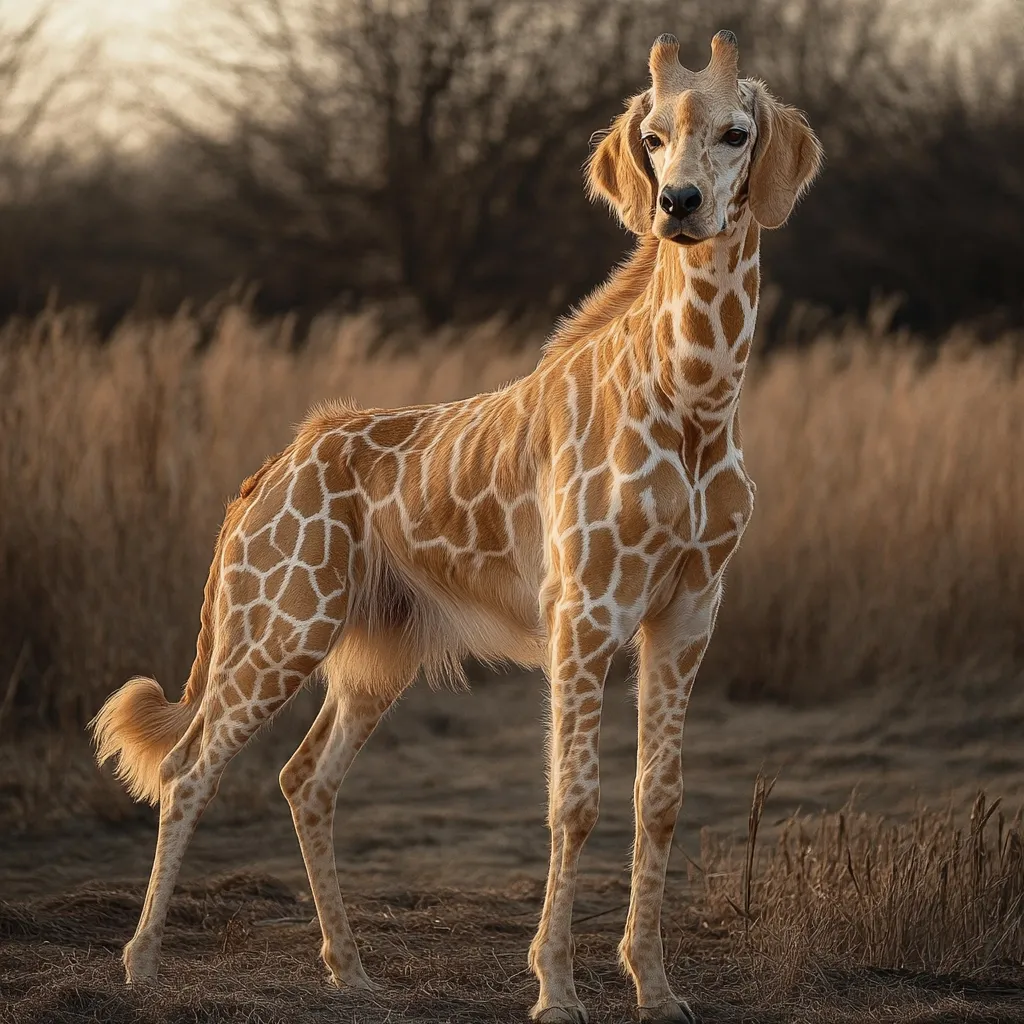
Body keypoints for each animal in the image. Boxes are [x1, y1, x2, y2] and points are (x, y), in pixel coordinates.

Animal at [90, 30, 820, 1024]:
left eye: (738, 133)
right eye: (653, 138)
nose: (679, 206)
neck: (700, 404)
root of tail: (263, 477)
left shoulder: (687, 613)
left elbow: (659, 797)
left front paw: (657, 987)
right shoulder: (585, 614)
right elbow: (574, 801)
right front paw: (555, 990)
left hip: (377, 651)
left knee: (305, 777)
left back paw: (350, 970)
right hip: (280, 625)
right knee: (191, 767)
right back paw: (142, 964)